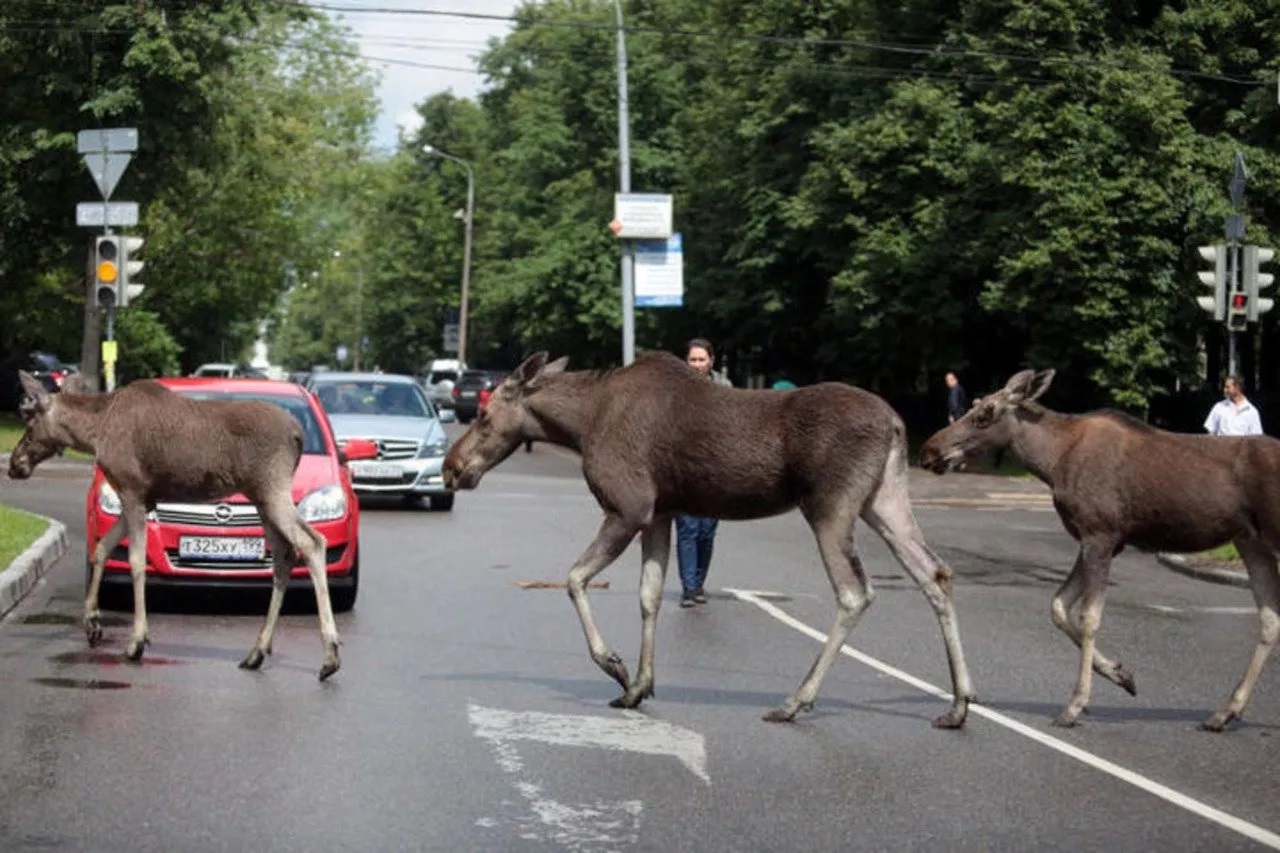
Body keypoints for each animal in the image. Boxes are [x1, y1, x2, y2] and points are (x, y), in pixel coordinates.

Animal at [5, 371, 343, 676]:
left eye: (30, 422)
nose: (13, 464)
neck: (95, 432)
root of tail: (298, 436)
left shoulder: (131, 490)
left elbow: (136, 561)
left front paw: (136, 641)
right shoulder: (145, 499)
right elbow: (101, 549)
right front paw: (92, 624)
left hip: (272, 488)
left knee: (312, 542)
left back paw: (329, 656)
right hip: (262, 498)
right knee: (284, 556)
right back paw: (257, 652)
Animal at [445, 348, 972, 727]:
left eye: (484, 417)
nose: (452, 468)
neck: (580, 424)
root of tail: (898, 425)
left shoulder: (628, 507)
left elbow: (574, 578)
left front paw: (615, 667)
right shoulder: (660, 514)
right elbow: (649, 594)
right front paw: (638, 687)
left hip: (830, 507)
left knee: (854, 592)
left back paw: (795, 701)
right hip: (882, 500)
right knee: (935, 572)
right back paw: (959, 704)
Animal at [921, 368, 1280, 727]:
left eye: (985, 413)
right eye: (975, 405)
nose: (929, 450)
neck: (1052, 462)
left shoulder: (1100, 535)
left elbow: (1089, 616)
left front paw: (1075, 704)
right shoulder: (1103, 540)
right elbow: (1058, 605)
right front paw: (1121, 674)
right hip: (1251, 541)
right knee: (1269, 618)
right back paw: (1226, 711)